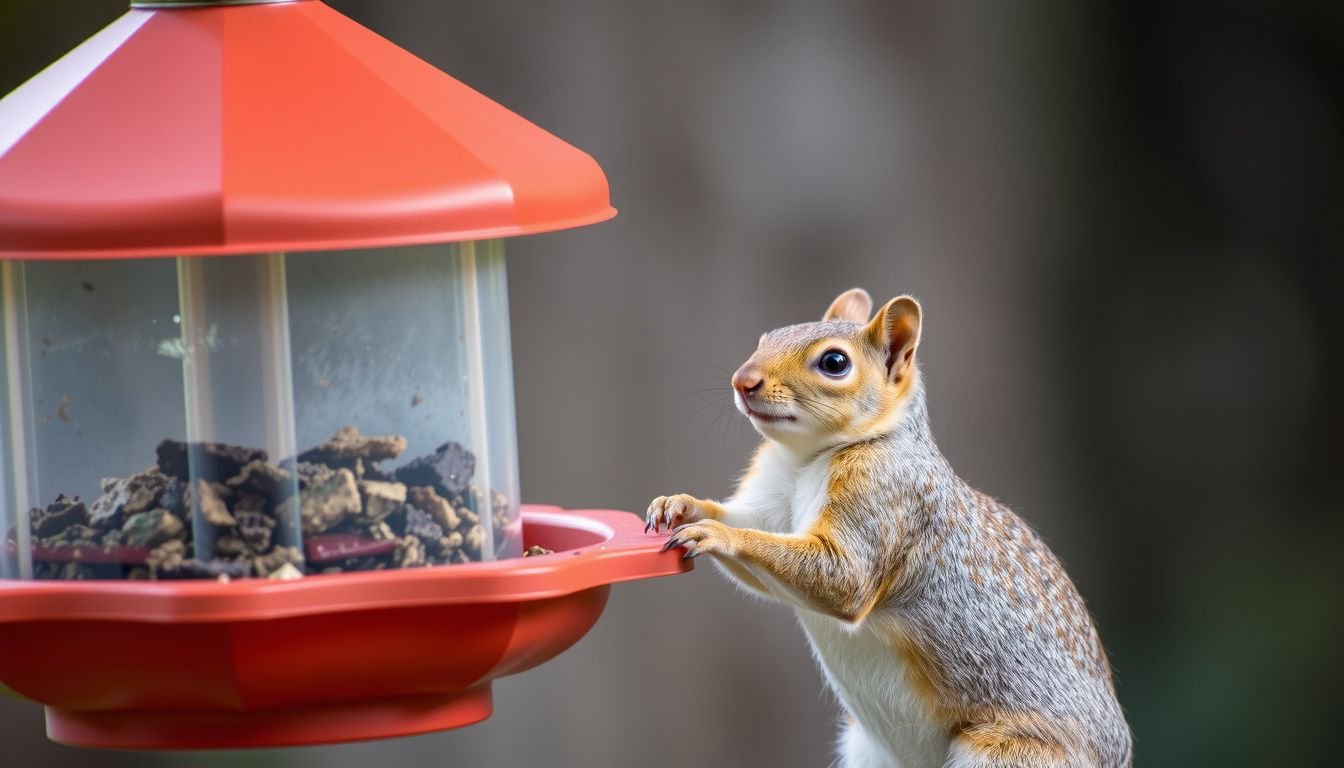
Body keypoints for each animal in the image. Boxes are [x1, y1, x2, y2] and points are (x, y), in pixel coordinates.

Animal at [647, 289, 1132, 768]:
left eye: (835, 362)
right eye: (766, 338)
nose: (742, 380)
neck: (806, 461)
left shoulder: (885, 495)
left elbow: (843, 578)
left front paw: (716, 534)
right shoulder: (771, 505)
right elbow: (749, 524)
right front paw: (682, 505)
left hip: (1012, 754)